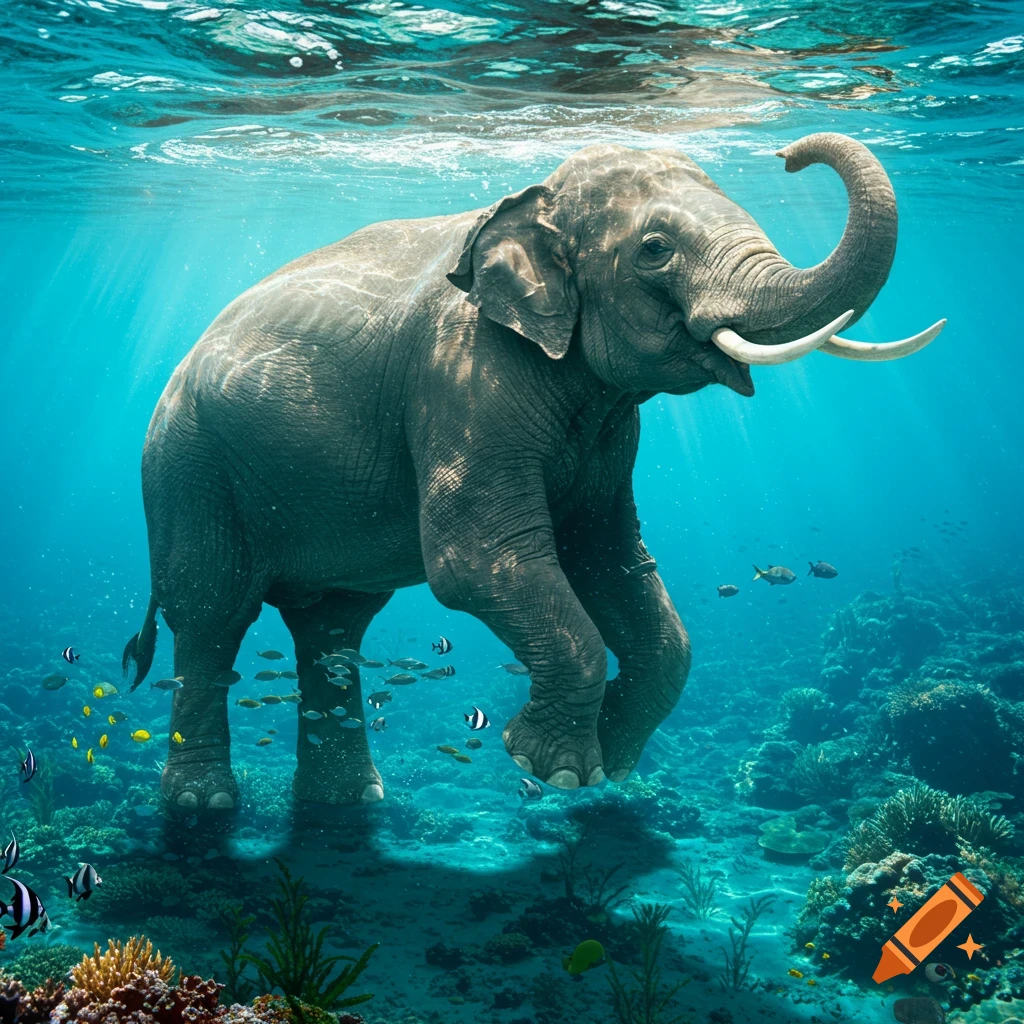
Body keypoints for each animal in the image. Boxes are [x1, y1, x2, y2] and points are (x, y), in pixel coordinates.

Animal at [122, 131, 943, 812]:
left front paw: (611, 763)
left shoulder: (609, 433)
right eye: (654, 248)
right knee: (211, 613)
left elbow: (612, 565)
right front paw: (555, 769)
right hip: (186, 466)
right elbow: (477, 562)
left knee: (333, 626)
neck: (532, 200)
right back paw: (203, 807)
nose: (789, 154)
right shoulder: (462, 376)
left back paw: (351, 804)